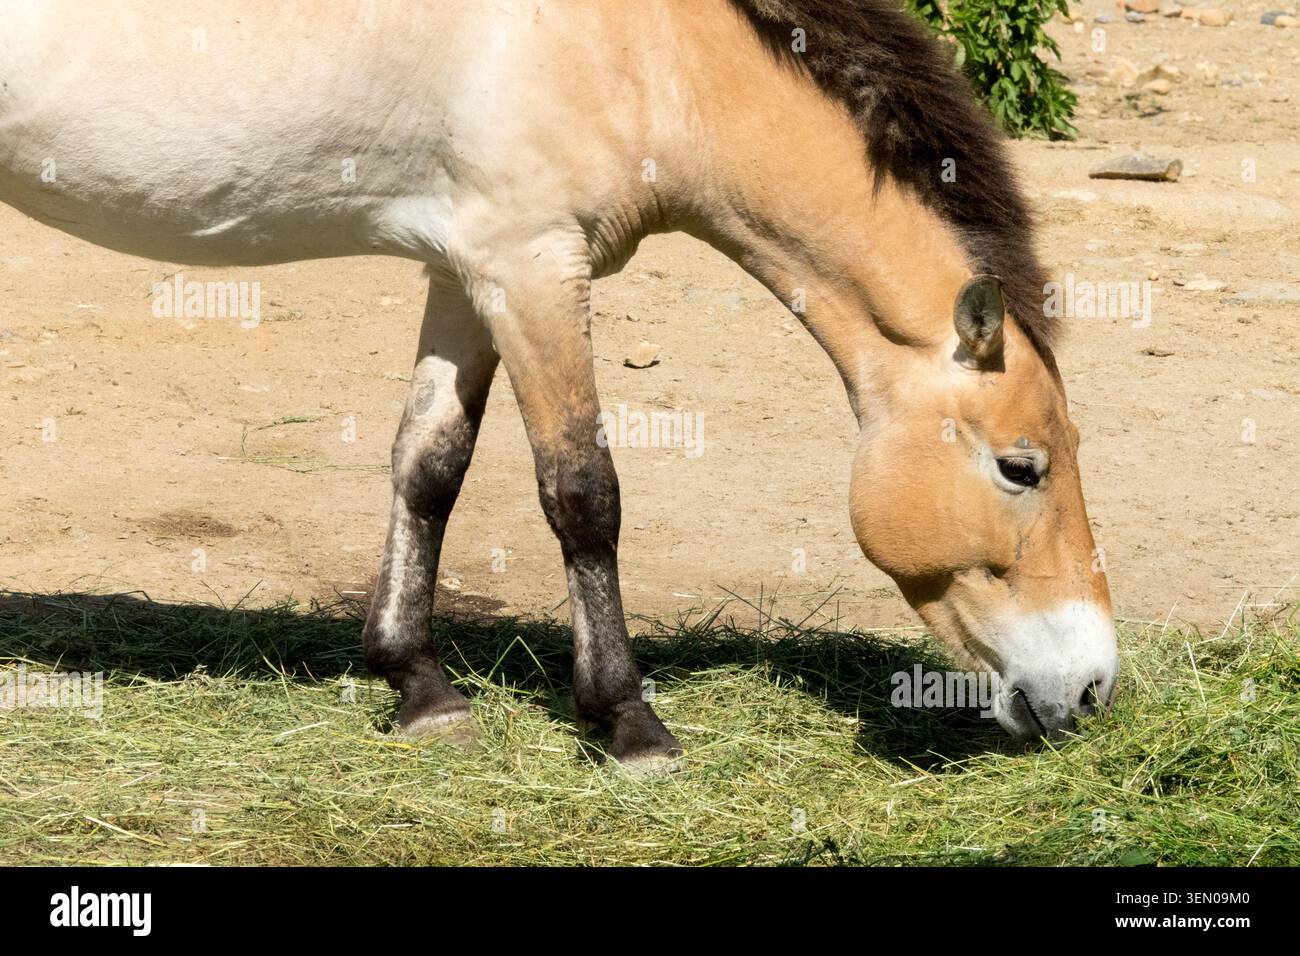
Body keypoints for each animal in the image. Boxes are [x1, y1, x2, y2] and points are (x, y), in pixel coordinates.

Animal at [0, 0, 1118, 771]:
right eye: (1021, 467)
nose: (1093, 687)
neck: (644, 46)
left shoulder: (464, 270)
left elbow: (429, 465)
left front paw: (417, 685)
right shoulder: (531, 265)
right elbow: (583, 493)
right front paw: (628, 721)